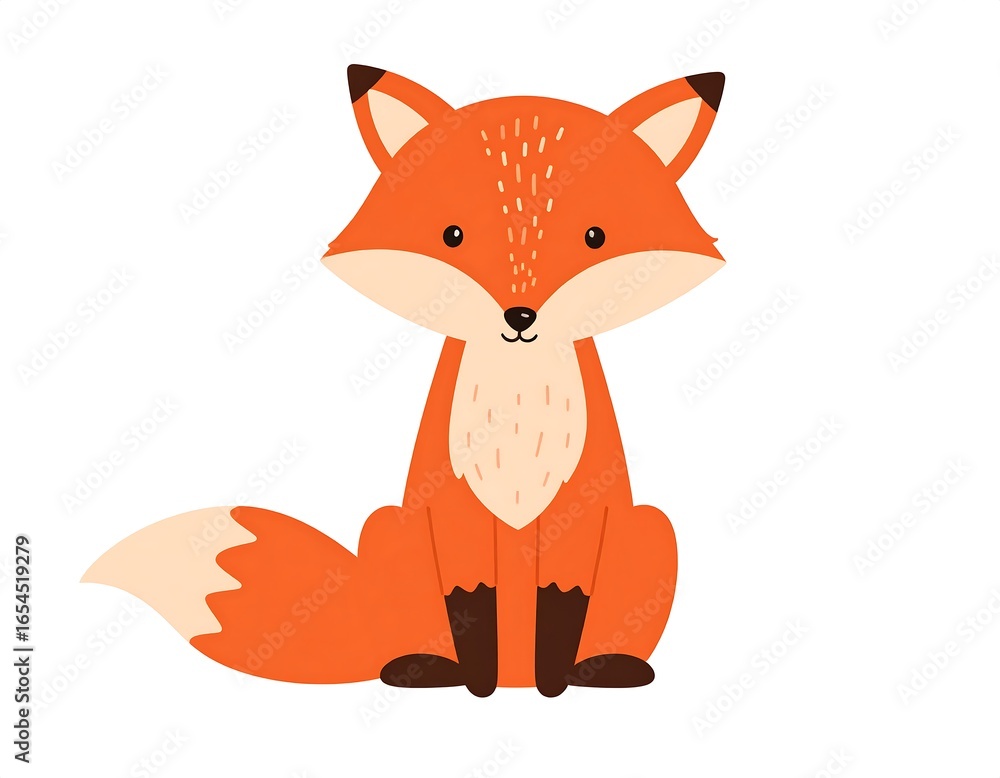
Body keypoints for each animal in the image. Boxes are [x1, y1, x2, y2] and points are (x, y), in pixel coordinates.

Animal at [83, 65, 726, 697]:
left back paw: (605, 668)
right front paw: (478, 682)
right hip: (392, 530)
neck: (516, 419)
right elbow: (471, 602)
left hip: (652, 530)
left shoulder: (582, 508)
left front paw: (555, 680)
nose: (520, 317)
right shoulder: (450, 508)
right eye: (452, 235)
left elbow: (562, 604)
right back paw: (427, 668)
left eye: (595, 236)